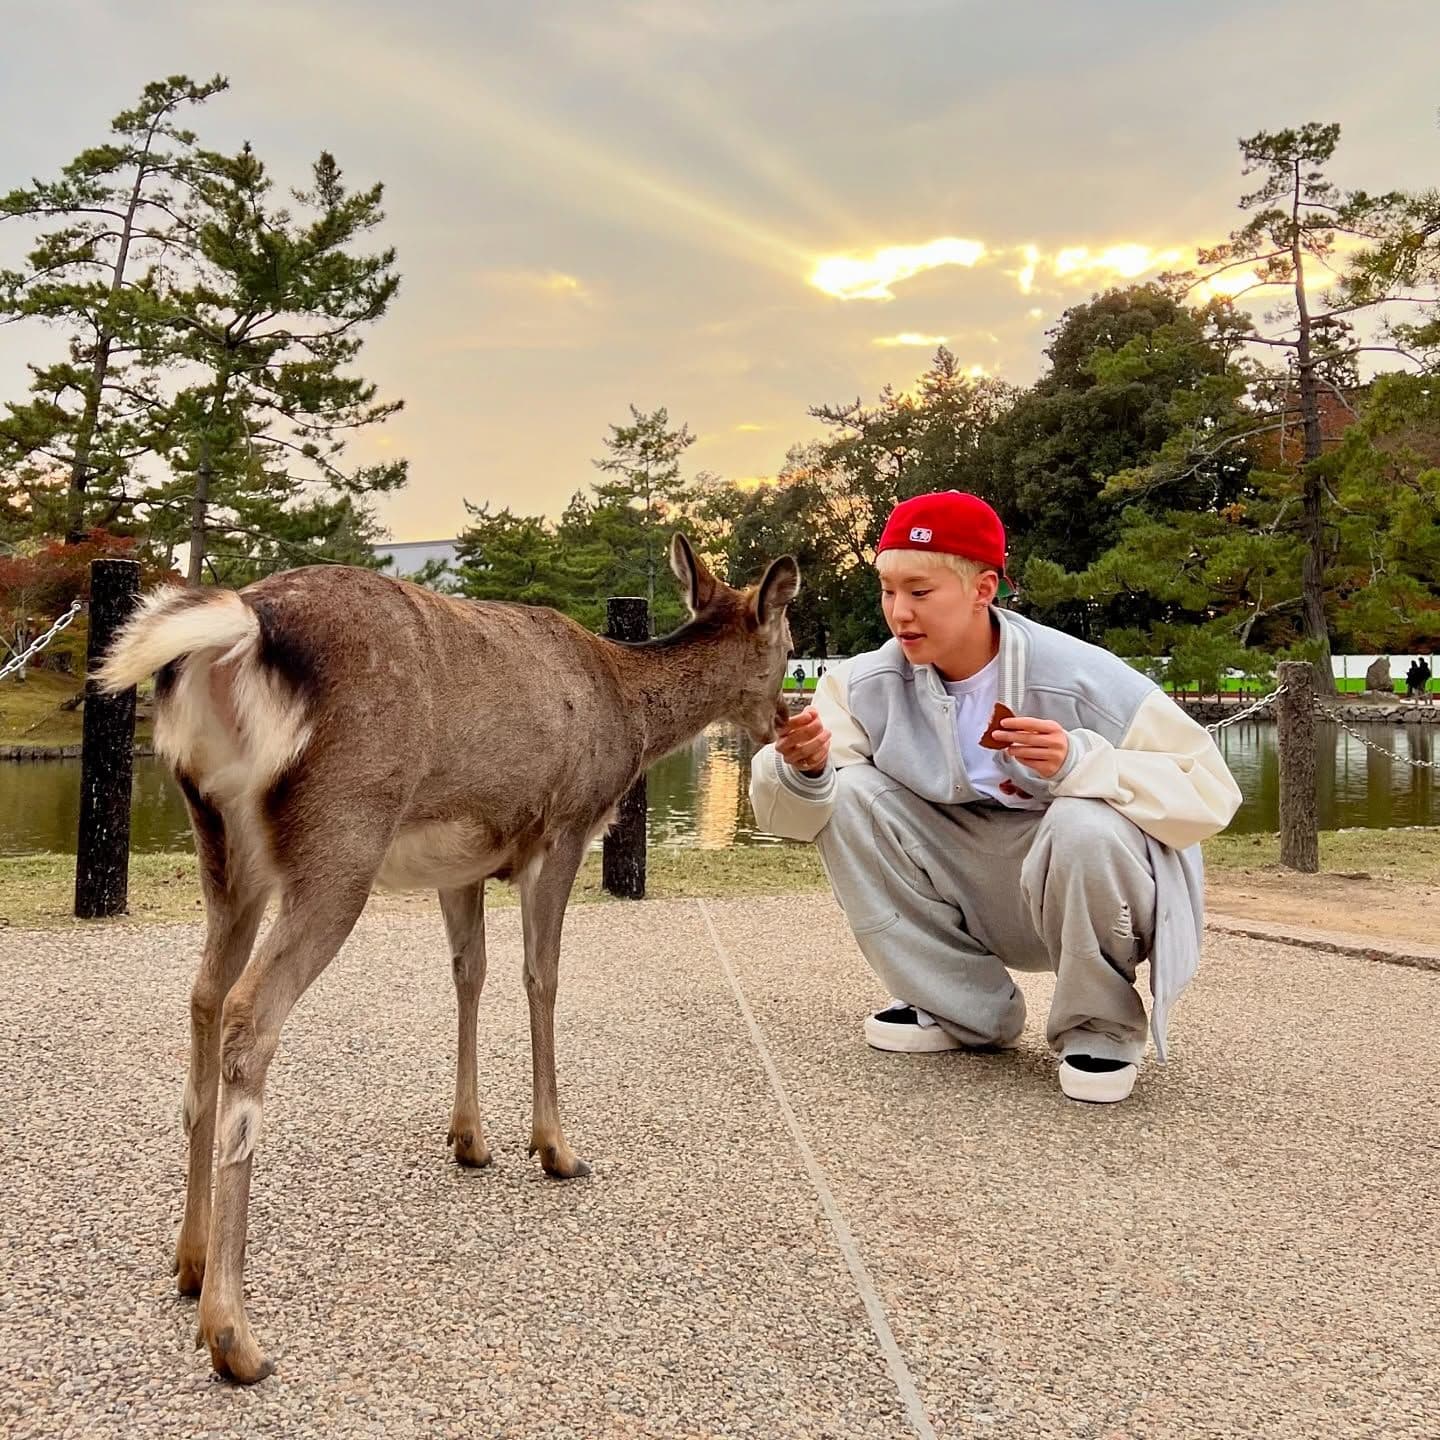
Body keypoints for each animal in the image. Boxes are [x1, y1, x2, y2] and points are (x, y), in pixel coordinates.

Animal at [96, 534, 800, 1384]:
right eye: (790, 641)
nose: (787, 718)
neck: (627, 714)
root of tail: (241, 626)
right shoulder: (564, 828)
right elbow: (541, 977)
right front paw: (556, 1148)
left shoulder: (461, 863)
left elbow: (470, 974)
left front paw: (470, 1139)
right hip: (340, 834)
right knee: (247, 1011)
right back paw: (233, 1333)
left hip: (223, 846)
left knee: (202, 995)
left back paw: (192, 1262)